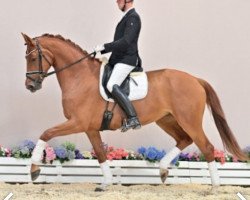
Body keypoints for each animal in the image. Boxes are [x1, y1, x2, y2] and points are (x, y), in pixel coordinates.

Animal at [22, 33, 248, 191]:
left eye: (32, 58)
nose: (30, 86)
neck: (80, 77)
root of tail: (195, 79)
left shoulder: (78, 122)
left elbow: (46, 133)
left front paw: (34, 169)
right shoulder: (90, 128)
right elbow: (101, 154)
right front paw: (106, 183)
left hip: (188, 120)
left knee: (206, 147)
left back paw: (214, 187)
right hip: (166, 120)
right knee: (184, 140)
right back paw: (163, 170)